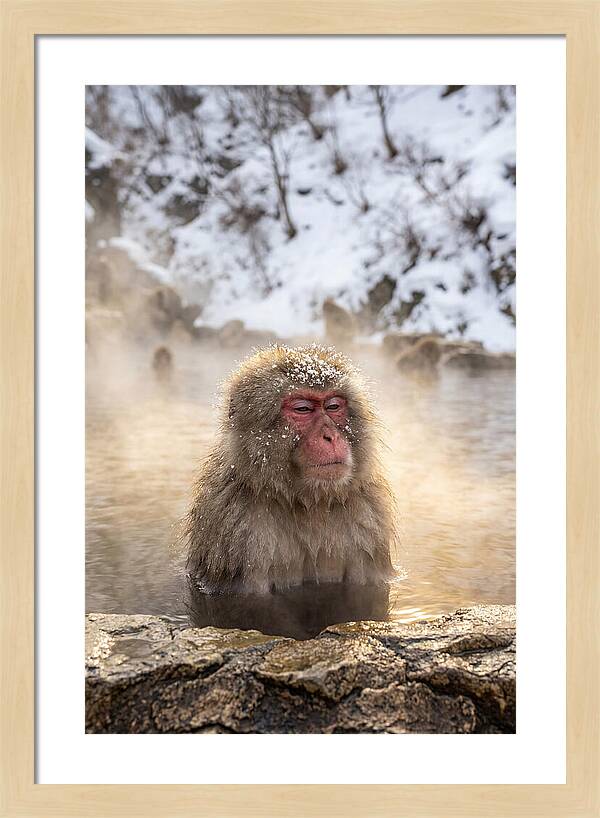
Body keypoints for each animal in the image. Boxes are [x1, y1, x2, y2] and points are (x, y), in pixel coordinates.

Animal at [185, 344, 397, 594]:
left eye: (333, 406)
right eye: (302, 409)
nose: (331, 436)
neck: (308, 502)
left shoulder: (369, 520)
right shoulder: (236, 530)